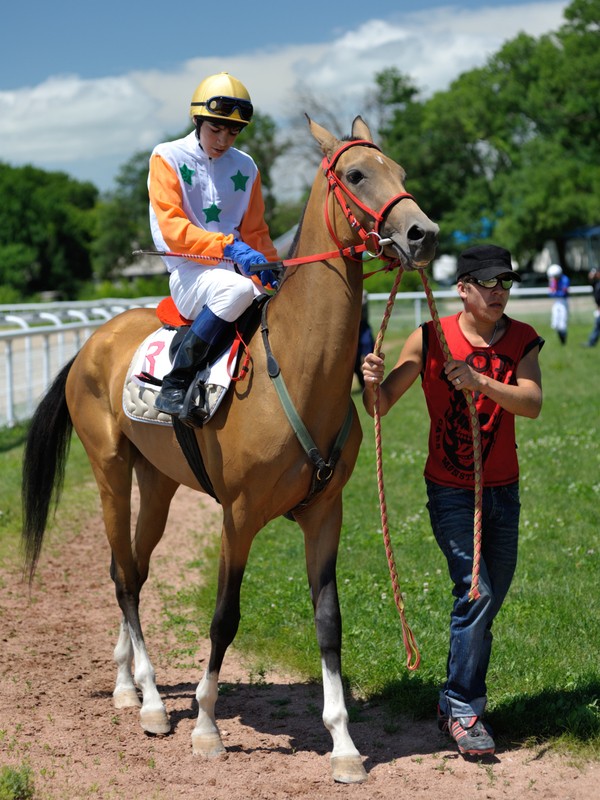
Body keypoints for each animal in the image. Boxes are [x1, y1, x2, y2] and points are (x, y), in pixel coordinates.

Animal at [21, 115, 438, 784]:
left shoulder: (326, 514)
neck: (295, 369)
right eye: (356, 175)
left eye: (399, 171)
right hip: (110, 470)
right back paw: (152, 702)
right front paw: (206, 727)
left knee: (132, 567)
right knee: (123, 576)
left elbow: (329, 621)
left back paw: (126, 686)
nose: (423, 233)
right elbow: (224, 615)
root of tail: (94, 342)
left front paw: (344, 744)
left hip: (158, 483)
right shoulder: (237, 516)